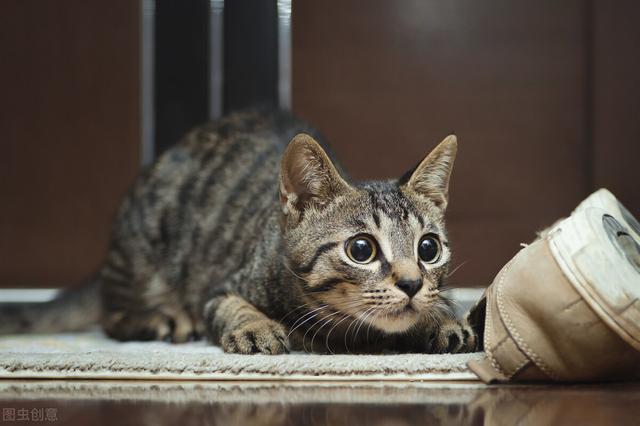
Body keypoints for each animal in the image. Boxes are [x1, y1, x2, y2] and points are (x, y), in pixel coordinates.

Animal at [0, 109, 476, 352]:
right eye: (362, 249)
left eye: (428, 248)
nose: (412, 283)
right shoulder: (221, 287)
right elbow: (232, 307)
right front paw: (255, 326)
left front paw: (442, 319)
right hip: (142, 252)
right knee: (111, 317)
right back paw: (160, 319)